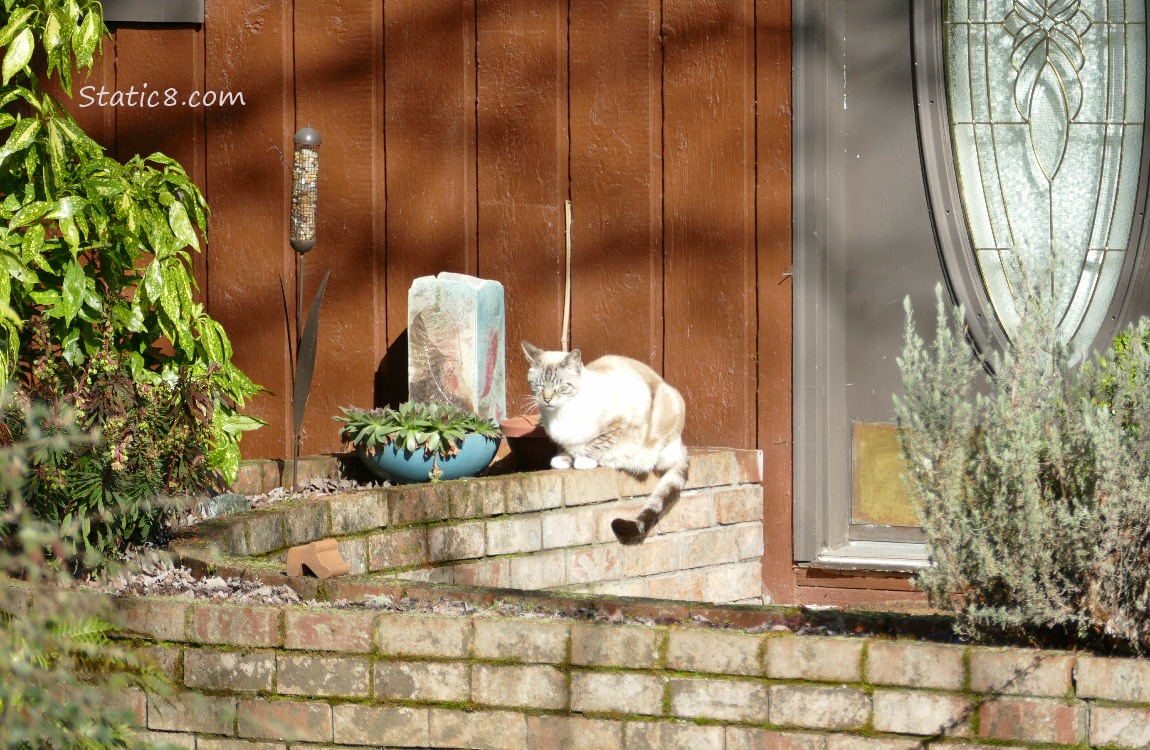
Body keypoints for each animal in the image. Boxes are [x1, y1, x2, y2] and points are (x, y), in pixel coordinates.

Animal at [524, 340, 690, 545]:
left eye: (560, 386)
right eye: (538, 386)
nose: (547, 399)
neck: (559, 415)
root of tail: (681, 444)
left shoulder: (618, 423)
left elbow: (598, 443)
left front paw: (583, 460)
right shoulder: (562, 438)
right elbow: (565, 447)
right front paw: (562, 459)